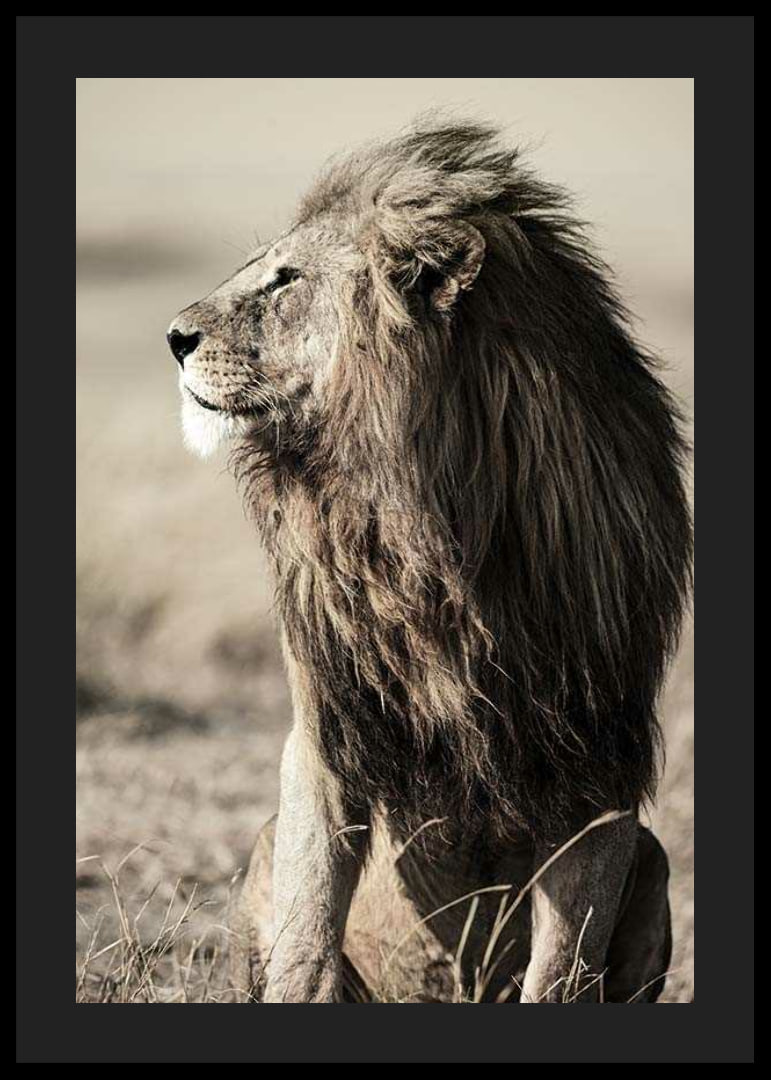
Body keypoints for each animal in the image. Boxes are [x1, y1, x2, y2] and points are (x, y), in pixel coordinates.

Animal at [168, 122, 691, 1003]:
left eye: (286, 279)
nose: (173, 337)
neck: (422, 523)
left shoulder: (602, 761)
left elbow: (561, 967)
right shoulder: (325, 728)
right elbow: (307, 934)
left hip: (652, 860)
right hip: (266, 841)